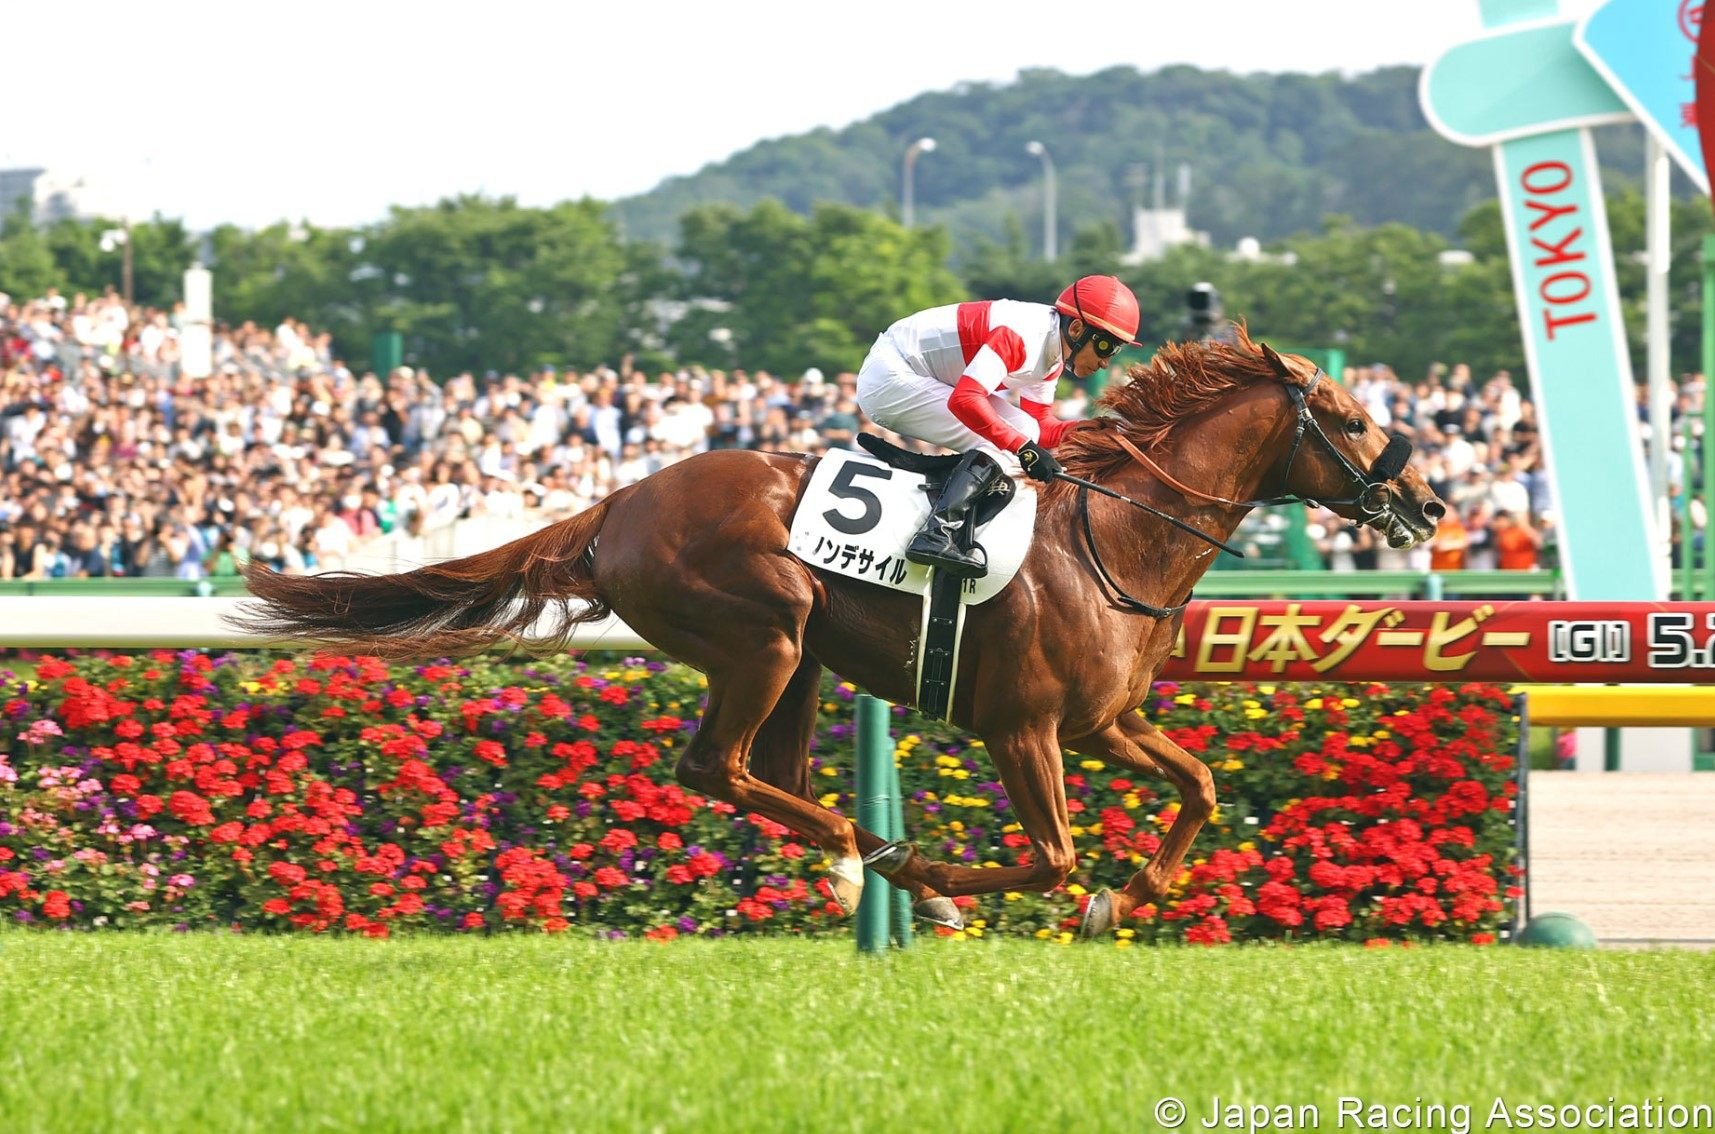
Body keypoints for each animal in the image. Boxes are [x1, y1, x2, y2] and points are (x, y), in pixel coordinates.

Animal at [234, 329, 1447, 940]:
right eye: (1348, 419)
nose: (1428, 504)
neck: (1111, 537)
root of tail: (618, 503)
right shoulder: (1021, 727)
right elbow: (1052, 855)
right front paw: (954, 878)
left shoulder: (1104, 723)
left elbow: (1196, 786)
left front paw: (1125, 895)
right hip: (762, 637)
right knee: (713, 767)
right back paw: (867, 864)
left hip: (805, 659)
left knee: (761, 774)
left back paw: (855, 859)